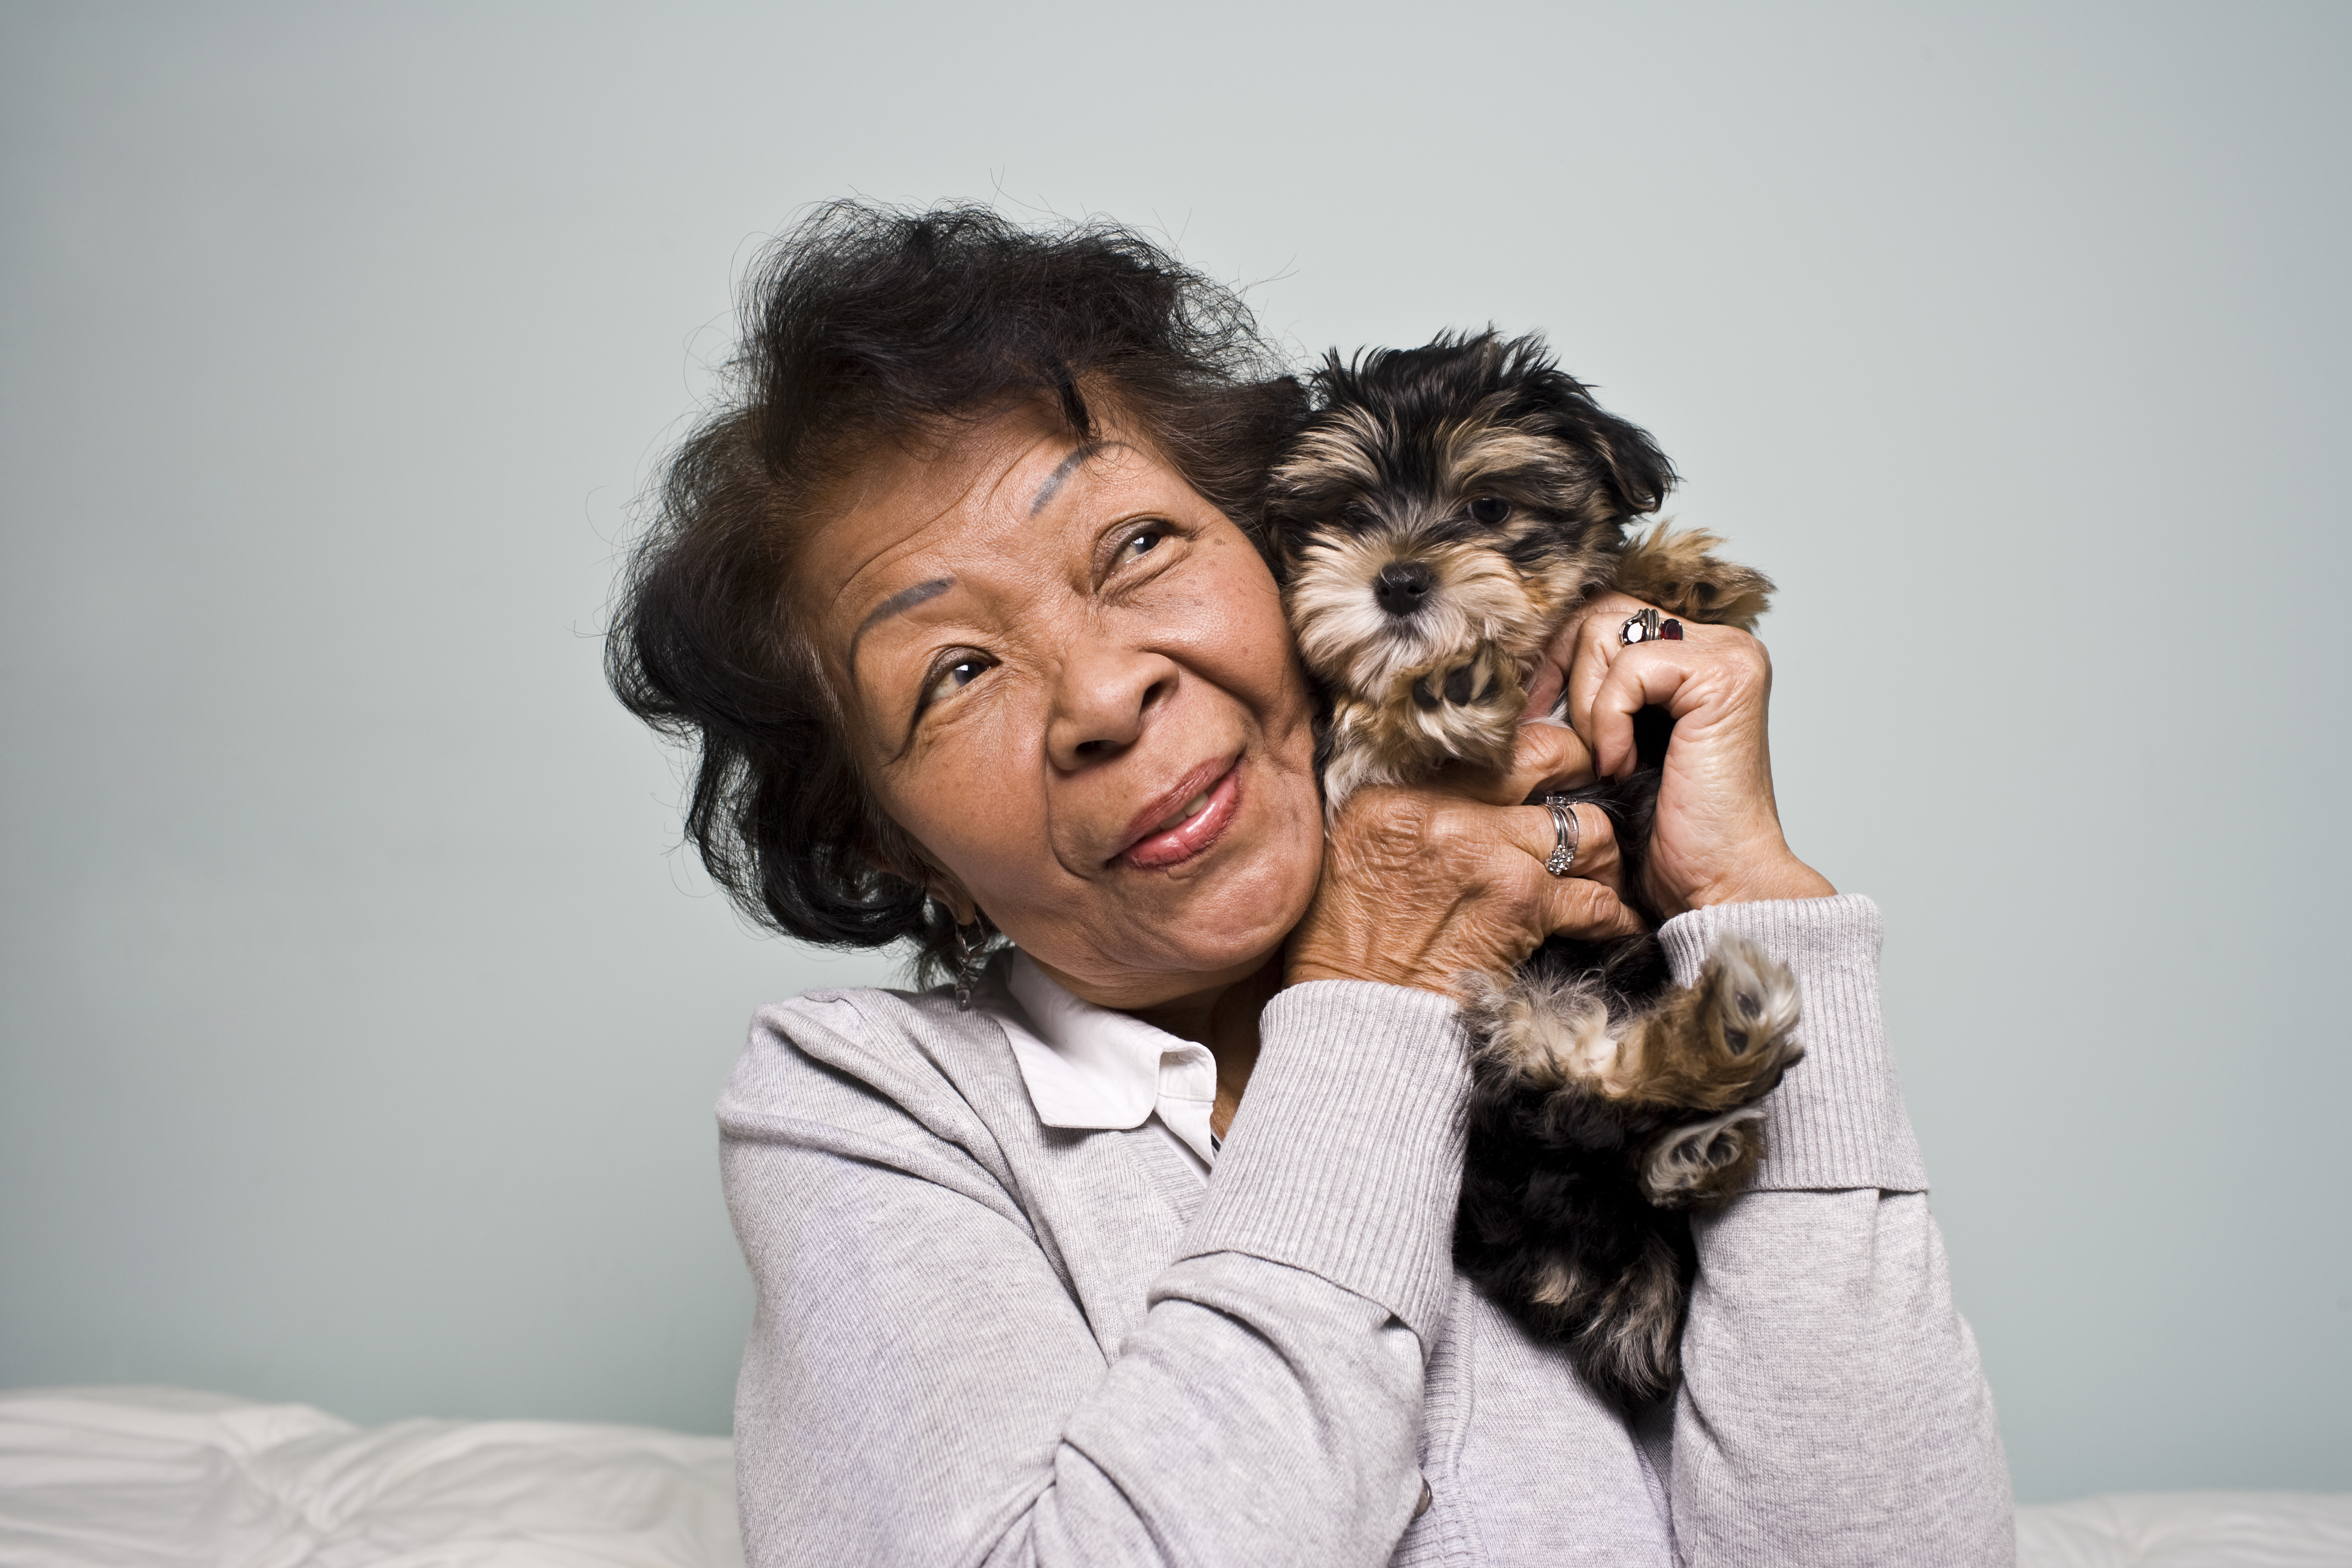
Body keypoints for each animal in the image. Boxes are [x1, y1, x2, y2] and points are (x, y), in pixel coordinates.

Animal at [1270, 331, 1797, 1410]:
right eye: (1346, 515)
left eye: (1486, 508)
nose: (1398, 582)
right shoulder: (1341, 777)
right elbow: (1379, 728)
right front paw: (1438, 692)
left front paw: (1681, 577)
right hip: (1514, 1031)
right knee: (1581, 1079)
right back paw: (1713, 1053)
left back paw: (1698, 1138)